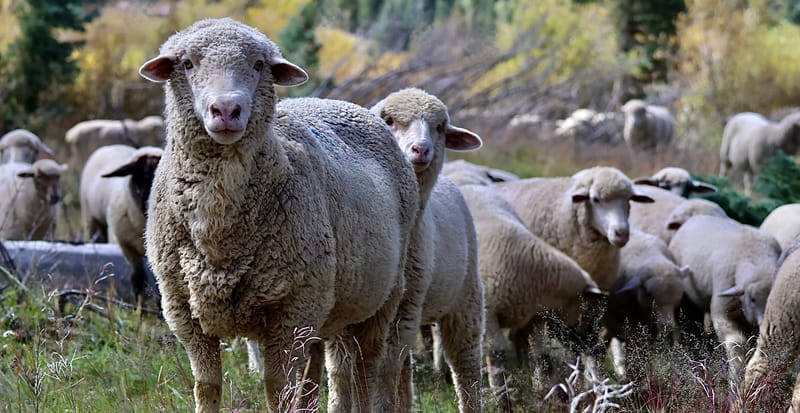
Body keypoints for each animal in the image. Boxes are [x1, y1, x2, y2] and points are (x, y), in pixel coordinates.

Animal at [80, 144, 163, 305]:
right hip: (91, 219)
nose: (149, 206)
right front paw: (139, 308)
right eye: (139, 178)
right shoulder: (126, 246)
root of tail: (111, 146)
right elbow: (138, 280)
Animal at [138, 18, 419, 413]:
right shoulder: (185, 312)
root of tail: (337, 103)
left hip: (381, 296)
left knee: (367, 367)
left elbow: (278, 390)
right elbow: (207, 387)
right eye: (188, 64)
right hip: (328, 307)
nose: (227, 110)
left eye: (259, 65)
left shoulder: (291, 311)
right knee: (320, 369)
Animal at [369, 88, 484, 412]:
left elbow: (383, 371)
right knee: (404, 371)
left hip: (465, 298)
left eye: (440, 128)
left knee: (465, 364)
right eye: (388, 120)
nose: (421, 149)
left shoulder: (405, 305)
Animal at [668, 214, 780, 387]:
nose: (767, 325)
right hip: (684, 299)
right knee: (685, 324)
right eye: (753, 299)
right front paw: (735, 381)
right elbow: (737, 344)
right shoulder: (723, 314)